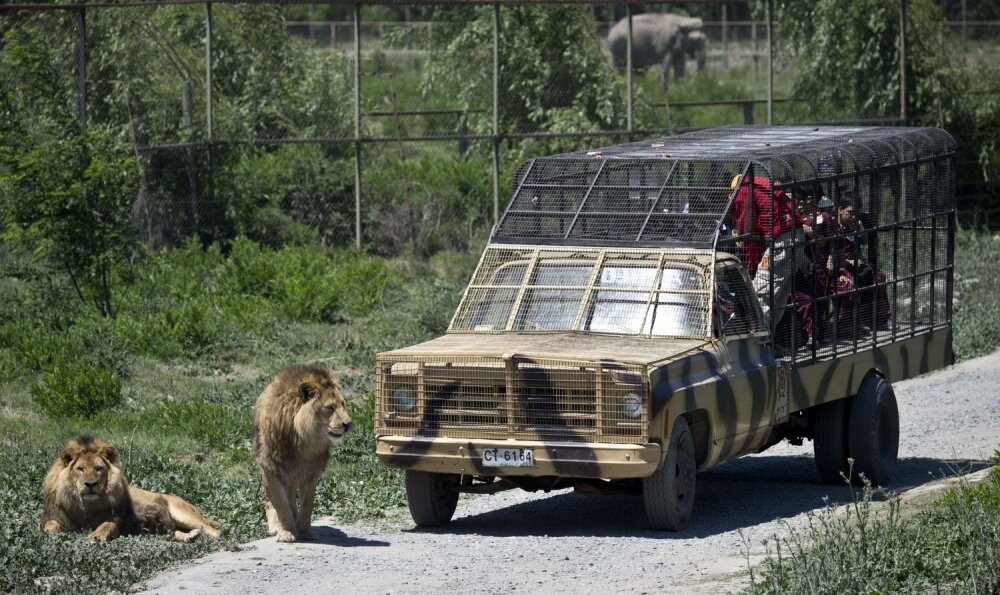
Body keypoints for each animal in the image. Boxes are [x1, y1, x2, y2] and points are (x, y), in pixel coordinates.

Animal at [41, 436, 221, 544]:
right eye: (80, 469)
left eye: (99, 469)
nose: (90, 484)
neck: (85, 506)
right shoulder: (55, 515)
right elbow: (49, 526)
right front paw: (52, 534)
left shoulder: (116, 518)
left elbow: (106, 525)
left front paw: (96, 536)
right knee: (175, 532)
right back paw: (191, 536)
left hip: (182, 512)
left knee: (211, 529)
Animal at [252, 364, 354, 544]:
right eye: (330, 408)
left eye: (343, 404)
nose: (348, 424)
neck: (303, 440)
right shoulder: (272, 468)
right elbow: (281, 504)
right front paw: (286, 532)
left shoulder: (310, 472)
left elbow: (307, 504)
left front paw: (304, 531)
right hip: (265, 469)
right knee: (268, 499)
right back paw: (275, 526)